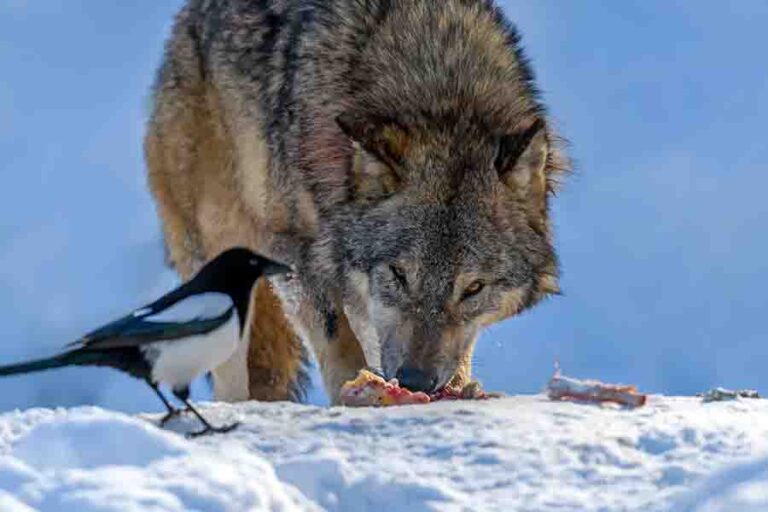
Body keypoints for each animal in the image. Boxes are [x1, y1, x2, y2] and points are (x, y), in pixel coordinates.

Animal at [145, 0, 568, 404]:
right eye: (399, 274)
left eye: (474, 288)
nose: (415, 381)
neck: (442, 95)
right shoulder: (296, 253)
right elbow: (338, 341)